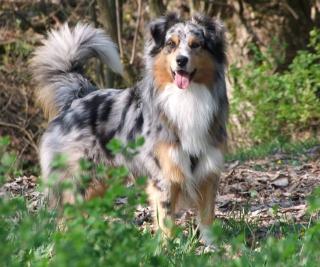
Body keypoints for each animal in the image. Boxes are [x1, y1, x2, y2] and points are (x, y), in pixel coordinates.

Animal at [30, 13, 228, 246]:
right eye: (171, 44)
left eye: (196, 45)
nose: (181, 60)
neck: (187, 98)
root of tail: (78, 98)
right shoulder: (164, 176)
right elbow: (166, 221)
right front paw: (167, 248)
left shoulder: (208, 171)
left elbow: (207, 217)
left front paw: (213, 248)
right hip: (77, 178)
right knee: (65, 213)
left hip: (99, 182)